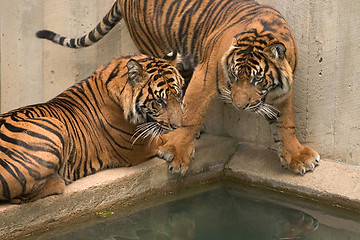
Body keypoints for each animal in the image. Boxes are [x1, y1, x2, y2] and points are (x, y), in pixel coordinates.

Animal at [0, 54, 184, 202]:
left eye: (178, 95)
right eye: (159, 101)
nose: (178, 124)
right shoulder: (139, 145)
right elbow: (167, 136)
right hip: (54, 126)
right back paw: (59, 179)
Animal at [35, 0, 318, 176]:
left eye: (258, 80)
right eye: (234, 75)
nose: (239, 106)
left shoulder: (283, 92)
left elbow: (286, 123)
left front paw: (297, 157)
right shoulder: (206, 75)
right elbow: (190, 114)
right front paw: (176, 152)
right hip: (157, 50)